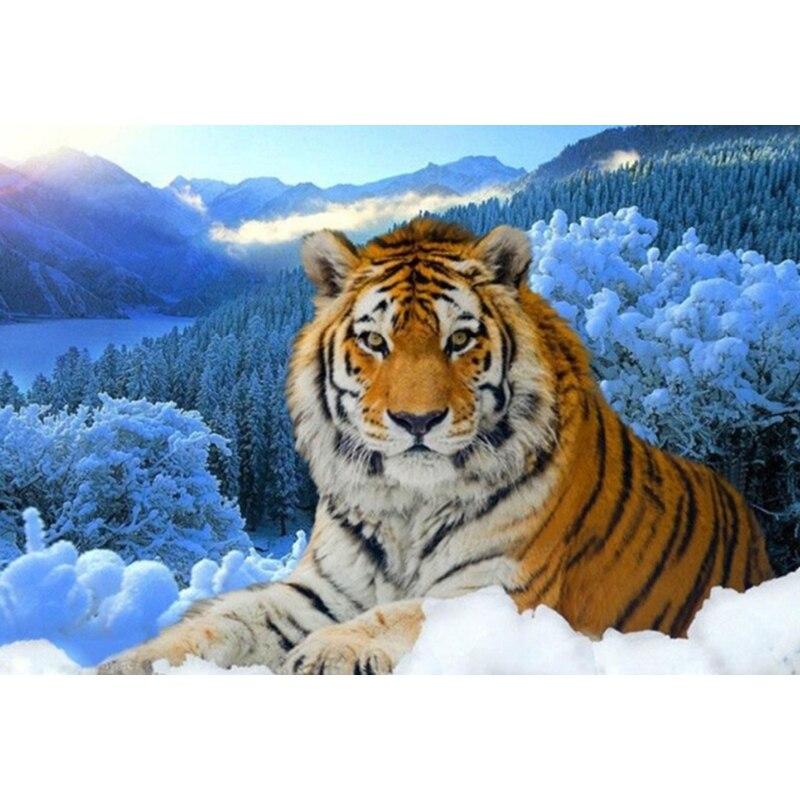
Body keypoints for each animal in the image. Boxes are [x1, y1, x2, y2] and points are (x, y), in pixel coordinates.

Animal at [100, 218, 773, 674]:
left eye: (460, 340)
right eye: (374, 341)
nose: (416, 420)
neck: (407, 505)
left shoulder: (501, 592)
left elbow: (404, 612)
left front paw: (329, 651)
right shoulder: (320, 591)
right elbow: (225, 621)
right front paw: (128, 663)